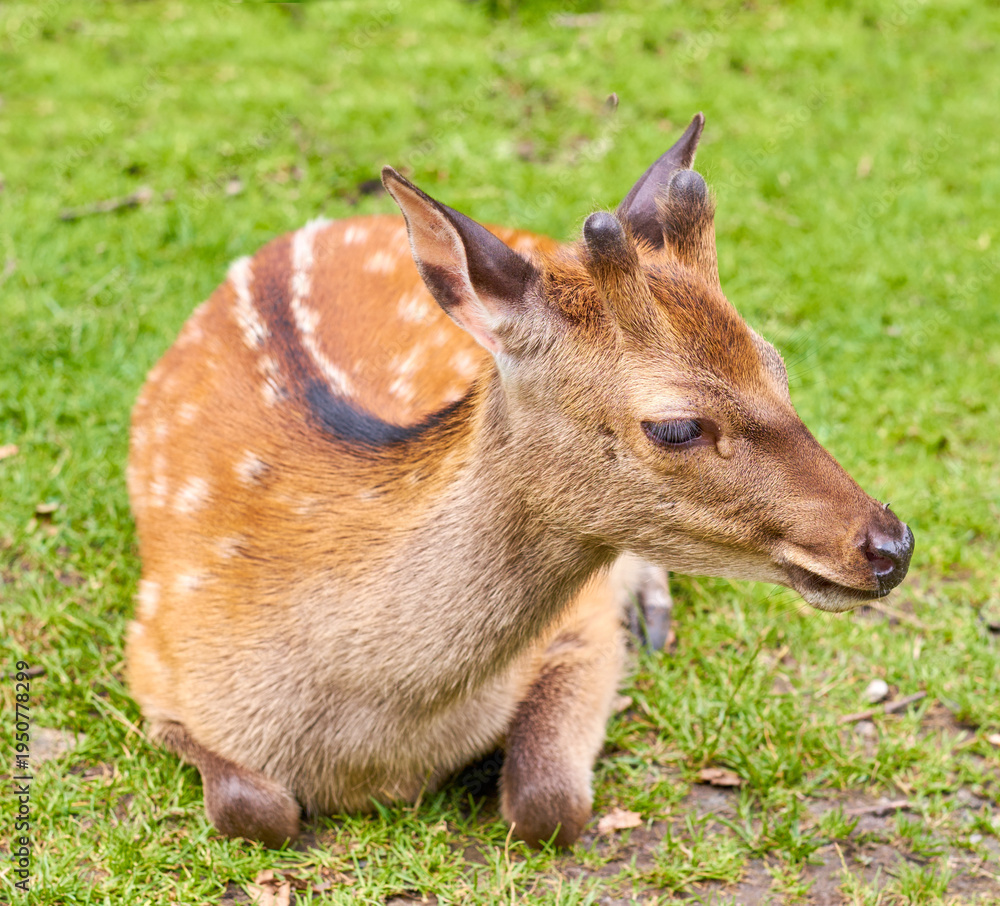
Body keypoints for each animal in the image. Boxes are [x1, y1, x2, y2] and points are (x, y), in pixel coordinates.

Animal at [125, 114, 914, 850]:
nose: (890, 544)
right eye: (676, 426)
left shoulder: (581, 628)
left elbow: (548, 805)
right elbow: (256, 809)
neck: (375, 753)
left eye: (777, 366)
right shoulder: (149, 654)